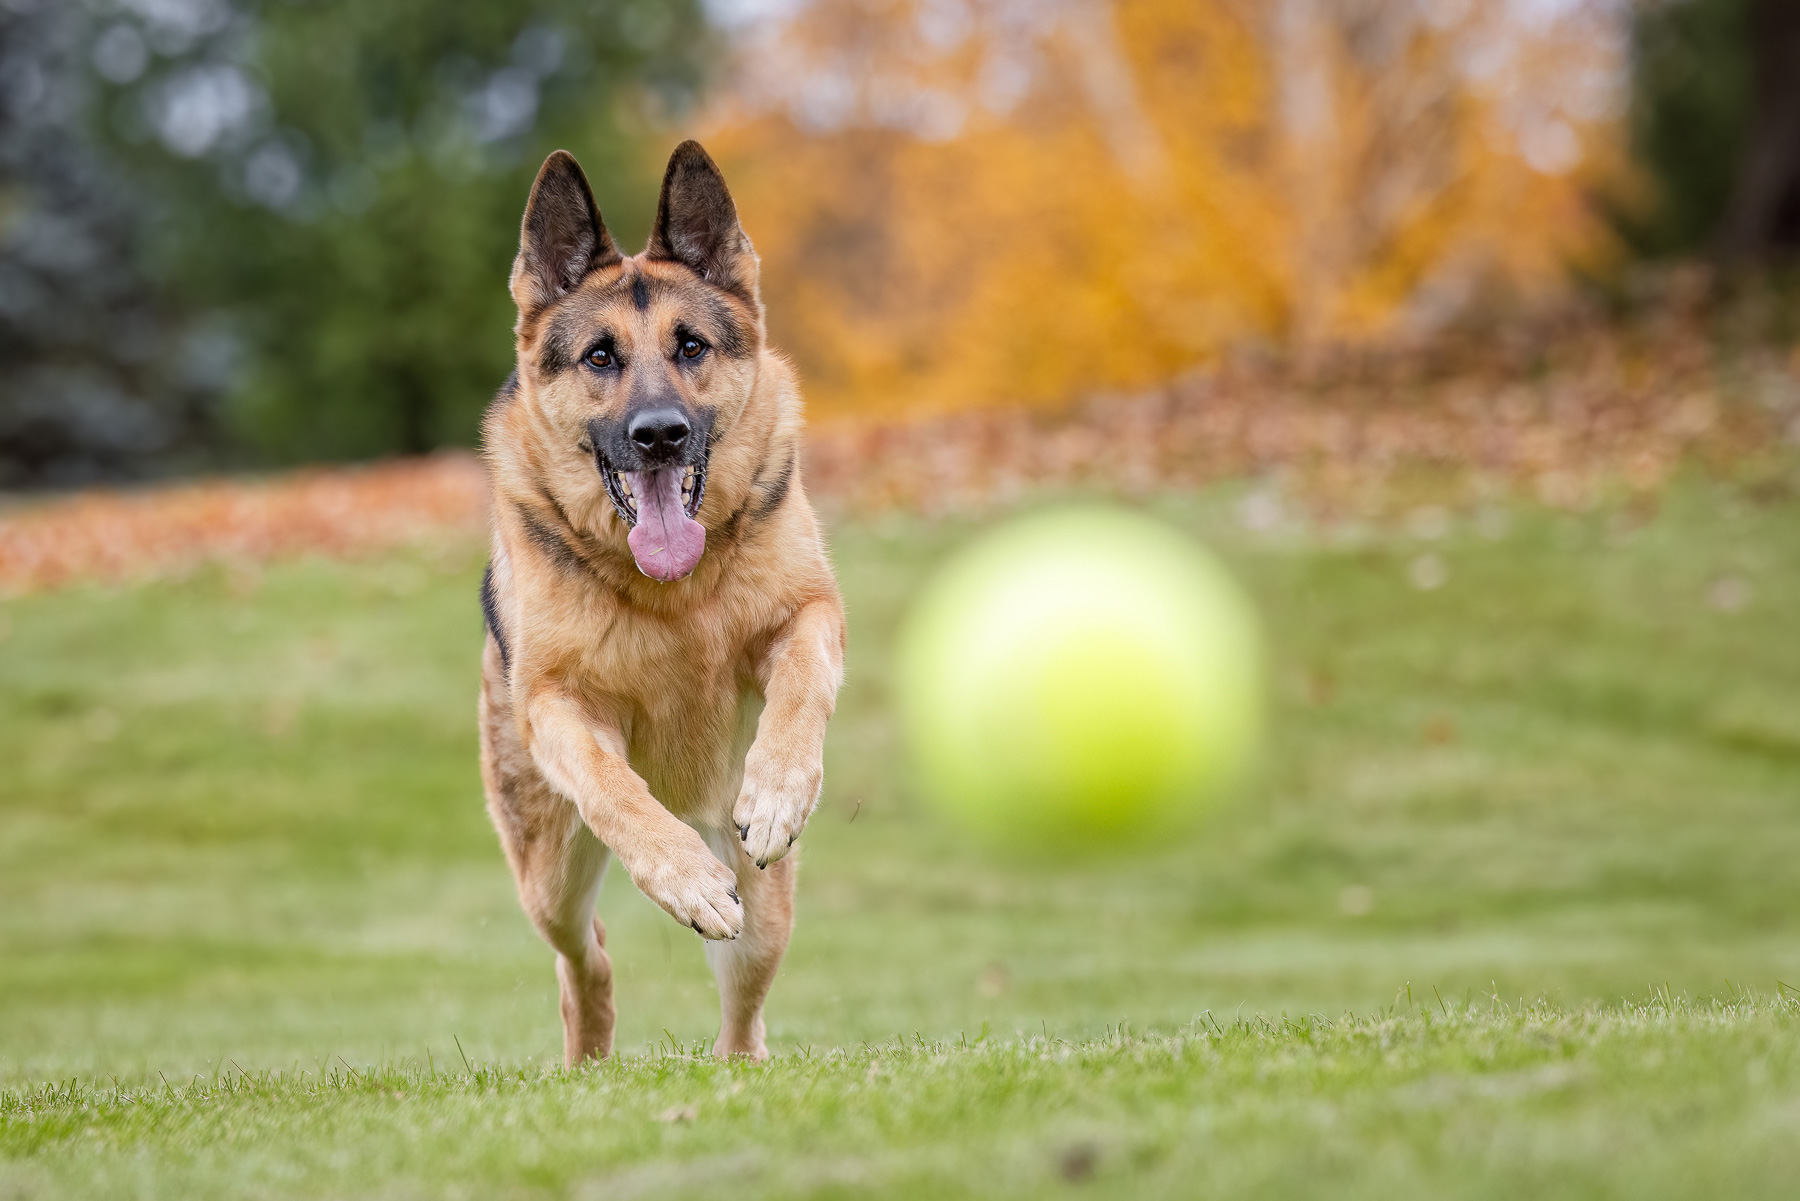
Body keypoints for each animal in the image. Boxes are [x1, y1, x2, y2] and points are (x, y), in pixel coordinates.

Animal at [478, 145, 842, 1065]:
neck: (674, 592)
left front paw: (777, 791)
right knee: (585, 955)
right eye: (600, 357)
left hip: (766, 917)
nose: (659, 434)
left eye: (691, 346)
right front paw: (681, 876)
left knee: (742, 1015)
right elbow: (614, 787)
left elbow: (802, 685)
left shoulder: (810, 614)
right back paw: (590, 1050)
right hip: (548, 875)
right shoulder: (556, 703)